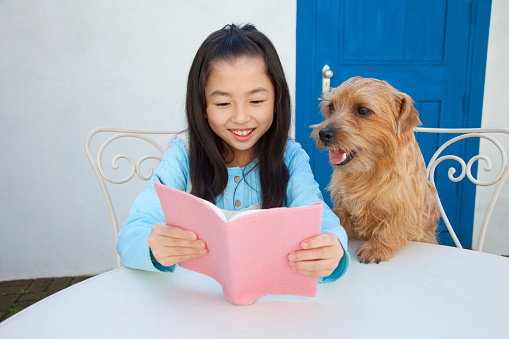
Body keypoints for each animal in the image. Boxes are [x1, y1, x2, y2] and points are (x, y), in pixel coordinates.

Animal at [312, 77, 438, 266]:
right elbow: (340, 218)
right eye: (331, 107)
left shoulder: (406, 208)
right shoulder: (342, 202)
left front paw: (376, 247)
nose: (323, 133)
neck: (368, 171)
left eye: (363, 110)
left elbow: (391, 225)